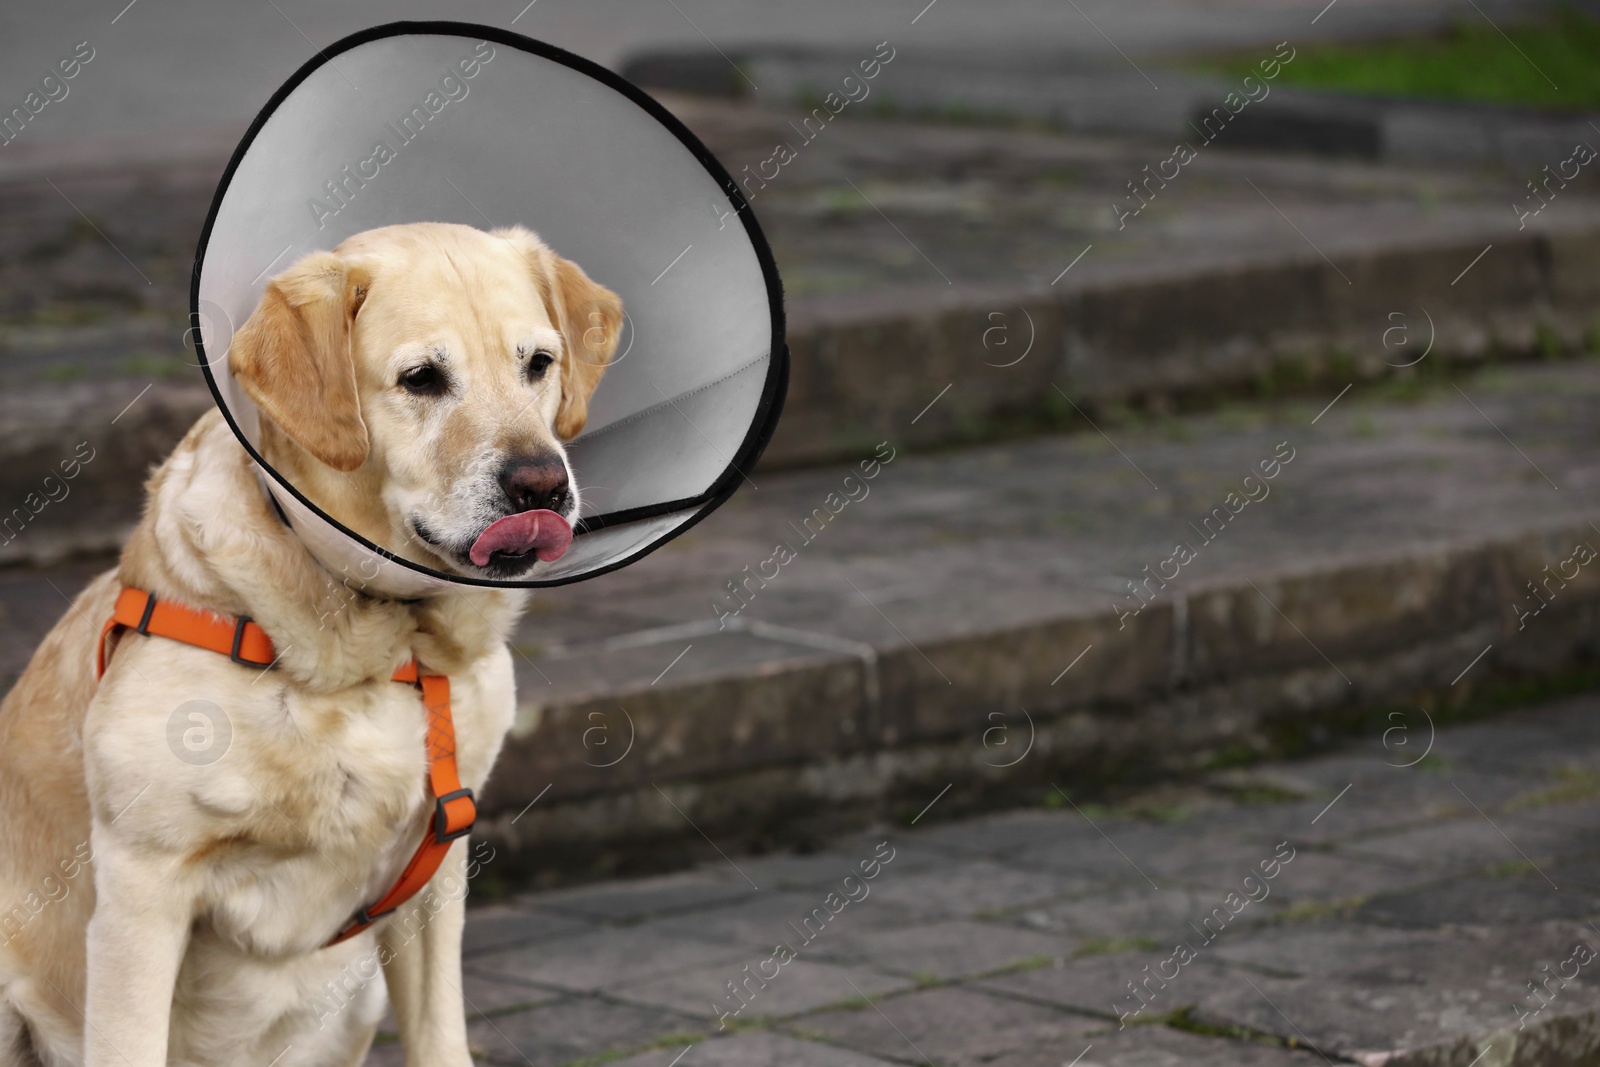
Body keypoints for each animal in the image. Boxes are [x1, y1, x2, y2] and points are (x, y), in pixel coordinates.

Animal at [0, 220, 620, 1062]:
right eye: (422, 378)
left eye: (538, 364)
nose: (542, 486)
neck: (378, 645)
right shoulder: (142, 888)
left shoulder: (435, 869)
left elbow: (440, 1034)